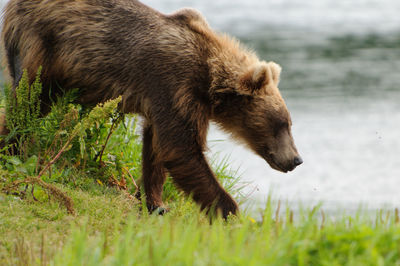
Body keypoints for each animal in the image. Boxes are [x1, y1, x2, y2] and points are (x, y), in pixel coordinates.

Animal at [0, 0, 300, 218]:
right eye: (282, 123)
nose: (296, 159)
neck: (210, 78)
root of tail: (13, 5)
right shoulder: (175, 84)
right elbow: (181, 149)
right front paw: (230, 210)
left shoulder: (165, 98)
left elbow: (156, 148)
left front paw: (155, 202)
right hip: (43, 48)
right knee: (26, 103)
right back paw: (11, 149)